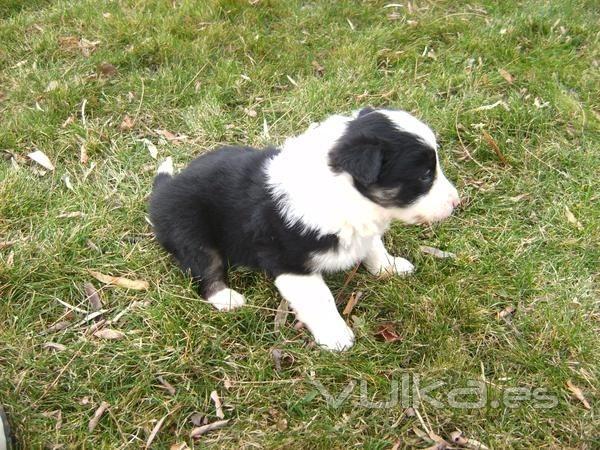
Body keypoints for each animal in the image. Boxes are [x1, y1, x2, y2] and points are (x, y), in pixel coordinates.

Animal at [149, 107, 460, 350]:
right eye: (425, 175)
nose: (457, 202)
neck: (345, 192)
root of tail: (163, 190)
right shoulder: (291, 263)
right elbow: (320, 299)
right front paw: (336, 337)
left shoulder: (366, 223)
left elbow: (374, 247)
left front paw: (389, 268)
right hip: (190, 230)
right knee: (205, 269)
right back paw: (226, 298)